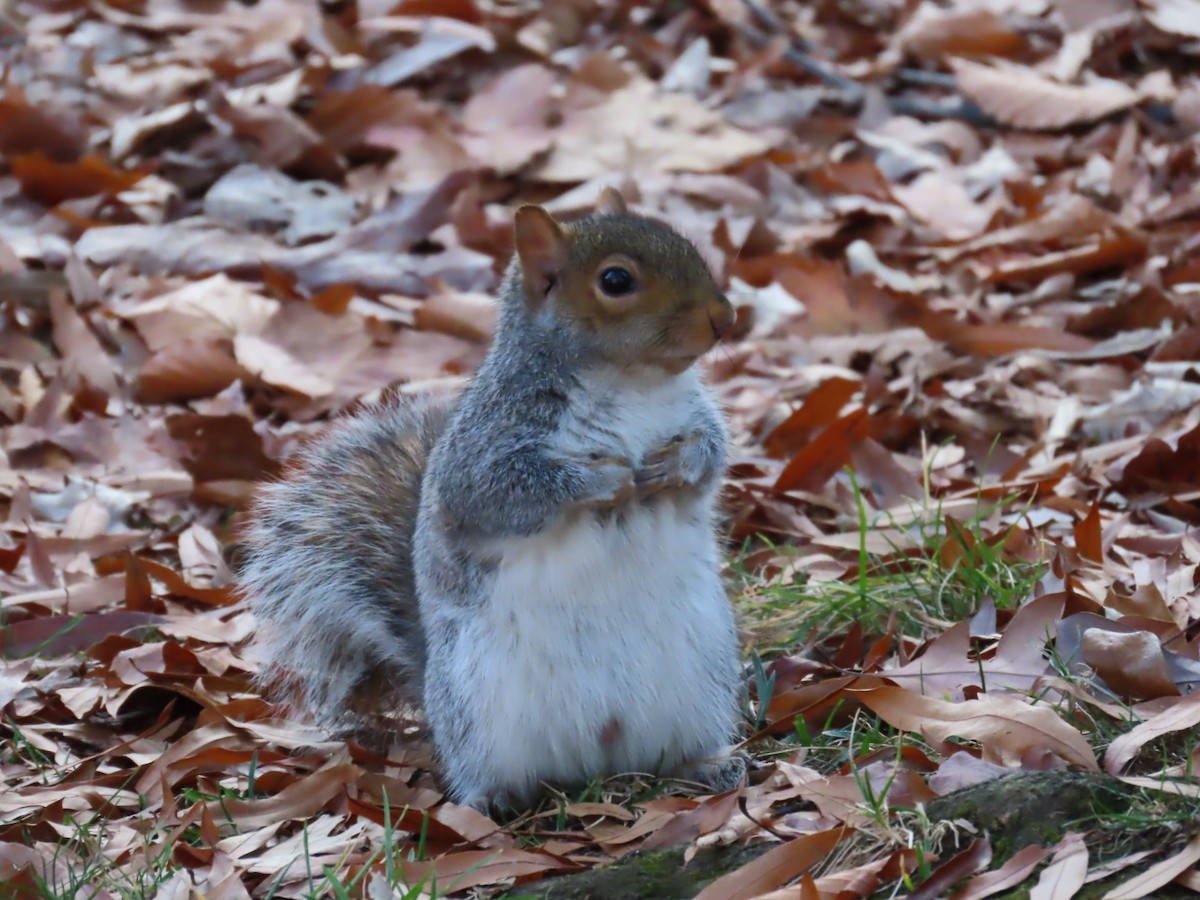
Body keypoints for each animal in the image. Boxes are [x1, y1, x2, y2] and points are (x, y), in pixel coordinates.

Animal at [241, 188, 746, 811]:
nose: (724, 318)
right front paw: (600, 480)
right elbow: (498, 492)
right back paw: (488, 802)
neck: (631, 382)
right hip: (479, 709)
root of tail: (601, 758)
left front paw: (678, 465)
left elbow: (712, 454)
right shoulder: (483, 448)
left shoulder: (696, 415)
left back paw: (709, 765)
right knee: (485, 774)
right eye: (616, 280)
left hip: (703, 682)